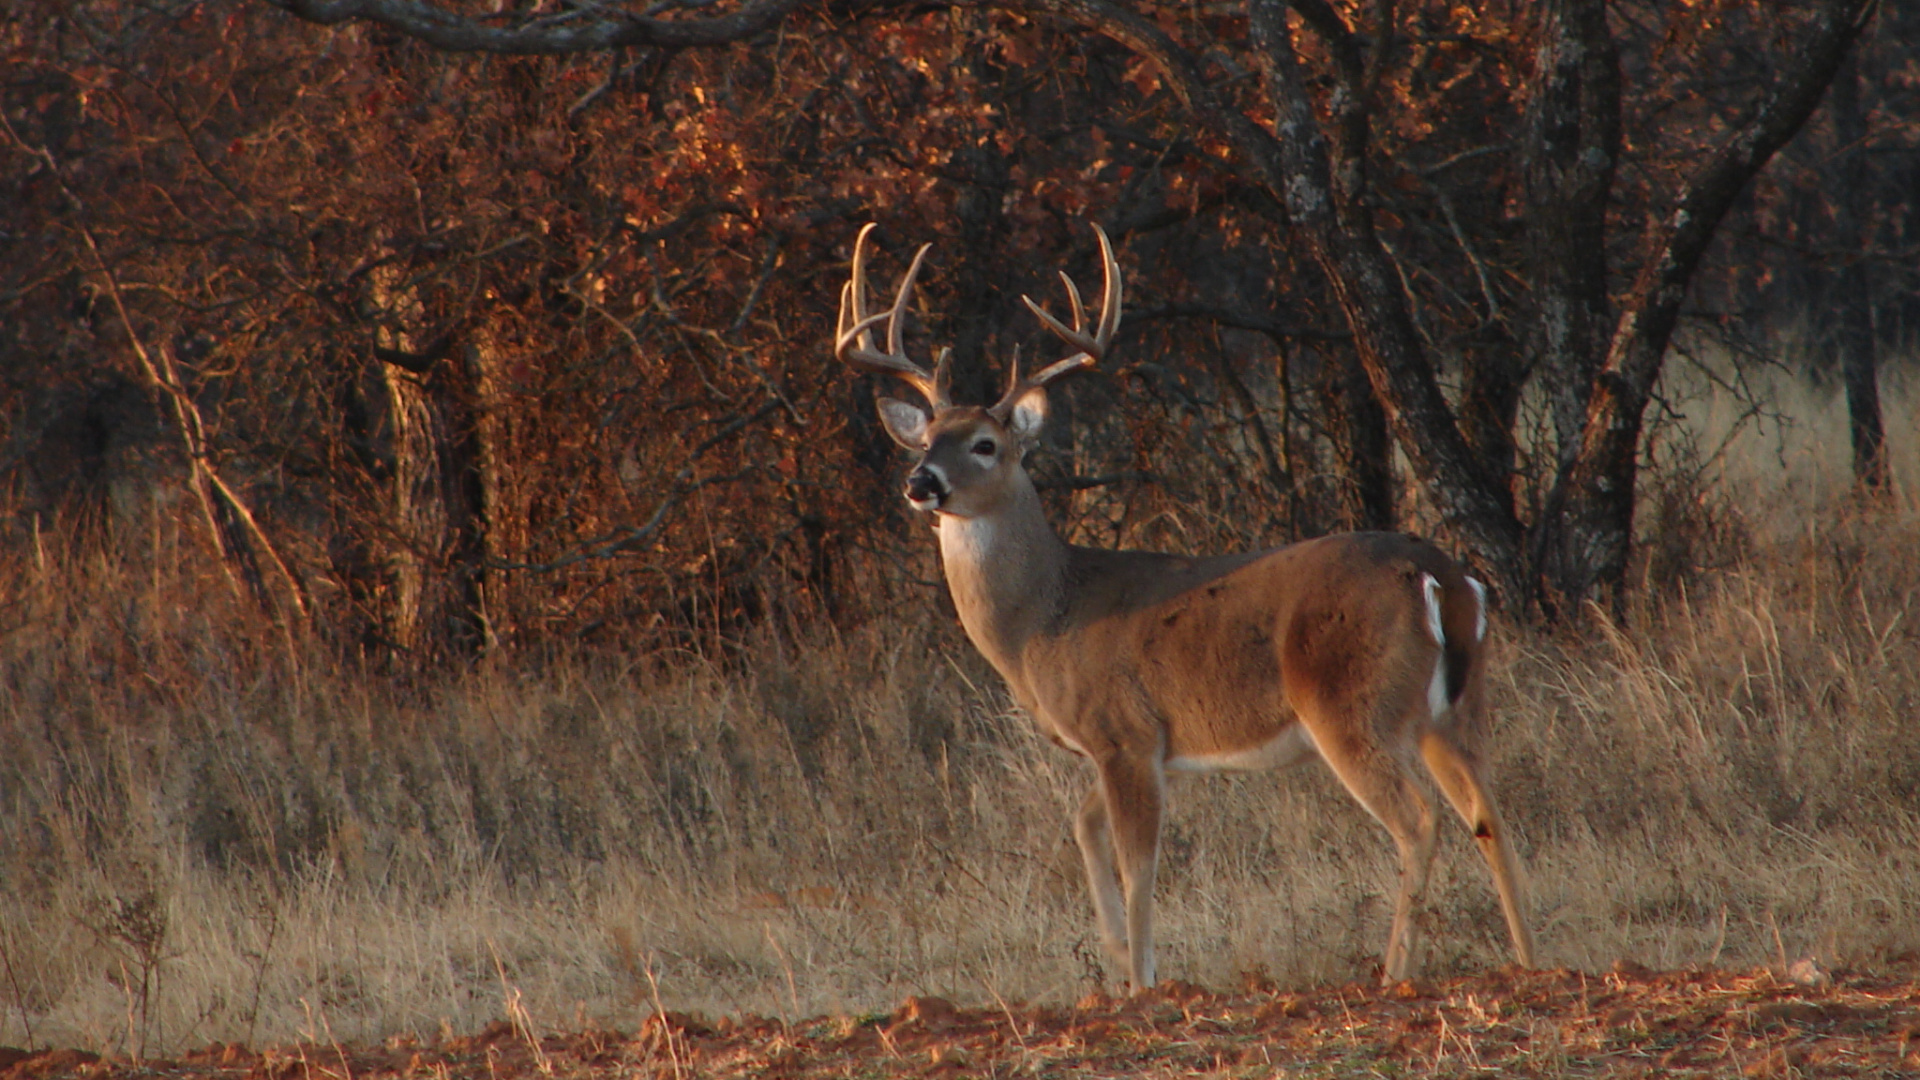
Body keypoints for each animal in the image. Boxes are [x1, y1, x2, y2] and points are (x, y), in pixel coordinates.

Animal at [834, 222, 1536, 992]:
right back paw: (1534, 961)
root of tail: (1443, 578)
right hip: (1455, 710)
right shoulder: (1136, 747)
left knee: (1420, 821)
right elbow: (1084, 829)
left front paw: (1142, 983)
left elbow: (1138, 868)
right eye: (928, 437)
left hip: (1352, 706)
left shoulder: (1124, 732)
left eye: (986, 445)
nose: (920, 482)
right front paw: (1117, 962)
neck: (1044, 617)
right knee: (1490, 814)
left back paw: (1395, 973)